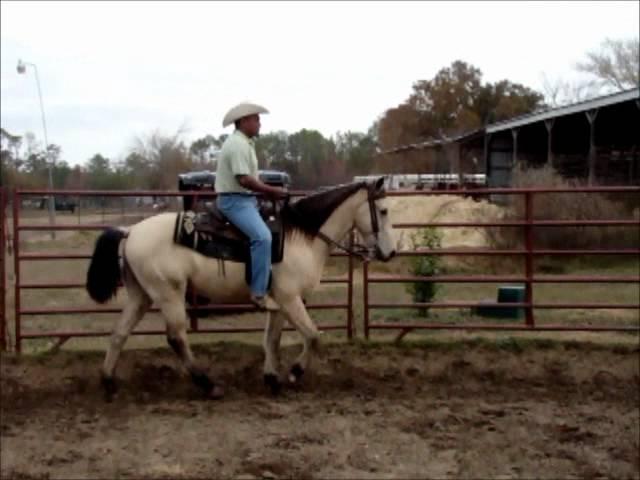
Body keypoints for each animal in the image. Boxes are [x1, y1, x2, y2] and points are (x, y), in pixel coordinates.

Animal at [85, 178, 396, 400]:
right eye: (383, 211)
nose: (391, 253)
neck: (301, 238)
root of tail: (130, 231)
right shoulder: (291, 298)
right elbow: (313, 336)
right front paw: (294, 373)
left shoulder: (279, 302)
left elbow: (272, 340)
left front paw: (272, 379)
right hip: (169, 293)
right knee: (176, 338)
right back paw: (208, 385)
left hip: (141, 295)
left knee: (119, 333)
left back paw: (108, 383)